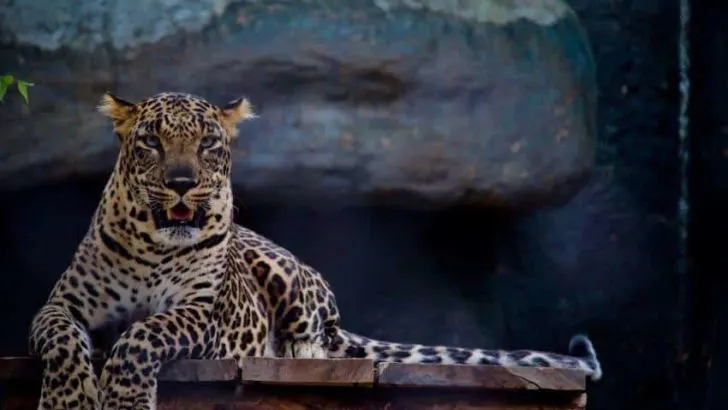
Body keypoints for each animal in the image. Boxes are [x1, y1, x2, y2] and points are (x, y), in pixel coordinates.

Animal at [27, 92, 604, 410]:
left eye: (208, 144)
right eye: (151, 141)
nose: (183, 183)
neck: (153, 245)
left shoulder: (199, 313)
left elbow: (143, 334)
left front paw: (124, 397)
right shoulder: (62, 305)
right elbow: (60, 339)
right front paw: (67, 400)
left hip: (289, 277)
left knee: (320, 338)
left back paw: (296, 353)